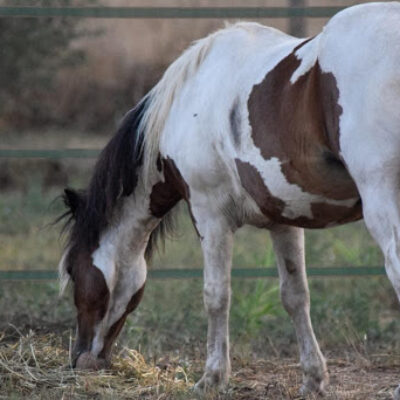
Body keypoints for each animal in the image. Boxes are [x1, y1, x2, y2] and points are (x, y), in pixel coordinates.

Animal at [57, 2, 400, 396]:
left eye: (73, 271)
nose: (81, 359)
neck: (189, 99)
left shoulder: (210, 217)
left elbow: (216, 295)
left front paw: (212, 377)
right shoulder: (283, 220)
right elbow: (295, 296)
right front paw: (313, 379)